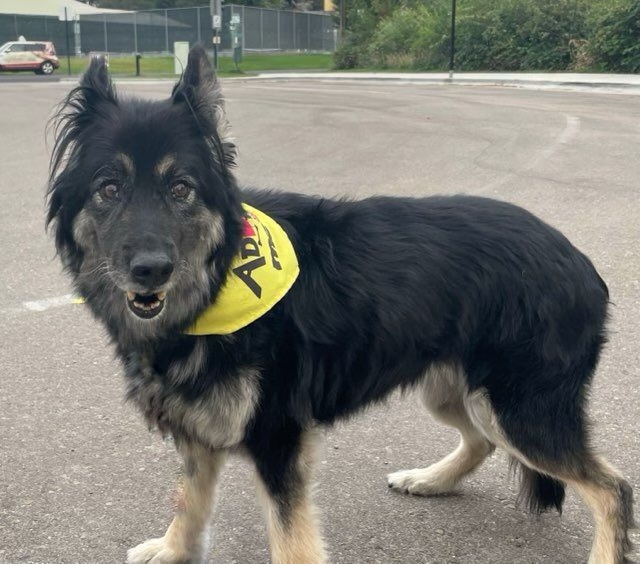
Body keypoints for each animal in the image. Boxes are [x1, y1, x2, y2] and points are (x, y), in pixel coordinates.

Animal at [47, 46, 632, 560]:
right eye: (108, 188)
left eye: (182, 188)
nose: (150, 270)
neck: (216, 285)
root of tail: (579, 261)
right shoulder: (198, 430)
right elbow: (188, 502)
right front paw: (174, 551)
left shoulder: (279, 441)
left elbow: (290, 541)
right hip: (456, 392)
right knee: (482, 442)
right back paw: (431, 479)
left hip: (518, 410)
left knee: (613, 489)